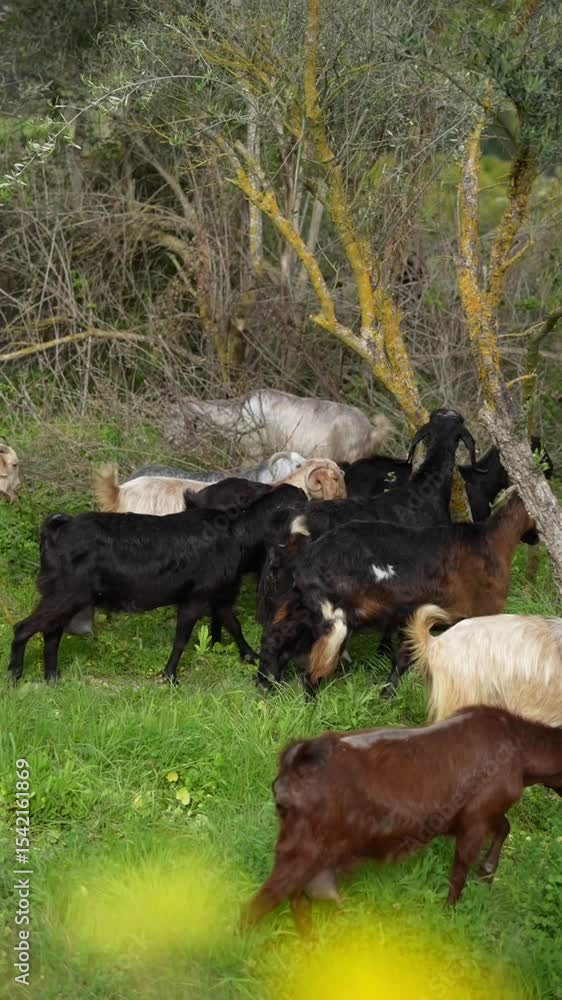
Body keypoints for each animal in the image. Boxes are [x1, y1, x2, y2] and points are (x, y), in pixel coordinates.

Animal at [8, 484, 305, 684]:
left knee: (51, 633)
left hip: (66, 598)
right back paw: (14, 676)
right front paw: (169, 675)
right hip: (64, 595)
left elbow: (233, 625)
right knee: (24, 628)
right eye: (299, 500)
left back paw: (53, 678)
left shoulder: (218, 596)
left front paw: (250, 656)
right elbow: (181, 638)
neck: (237, 534)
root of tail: (58, 528)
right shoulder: (195, 597)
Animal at [241, 706, 562, 932]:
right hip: (301, 851)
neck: (517, 745)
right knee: (260, 903)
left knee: (298, 900)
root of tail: (293, 763)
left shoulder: (485, 813)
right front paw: (449, 914)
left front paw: (487, 872)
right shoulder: (476, 820)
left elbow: (505, 826)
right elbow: (460, 871)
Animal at [256, 488, 538, 693]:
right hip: (333, 620)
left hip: (303, 607)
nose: (536, 537)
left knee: (274, 638)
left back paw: (267, 686)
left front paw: (386, 694)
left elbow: (403, 658)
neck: (489, 542)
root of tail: (306, 557)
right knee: (312, 671)